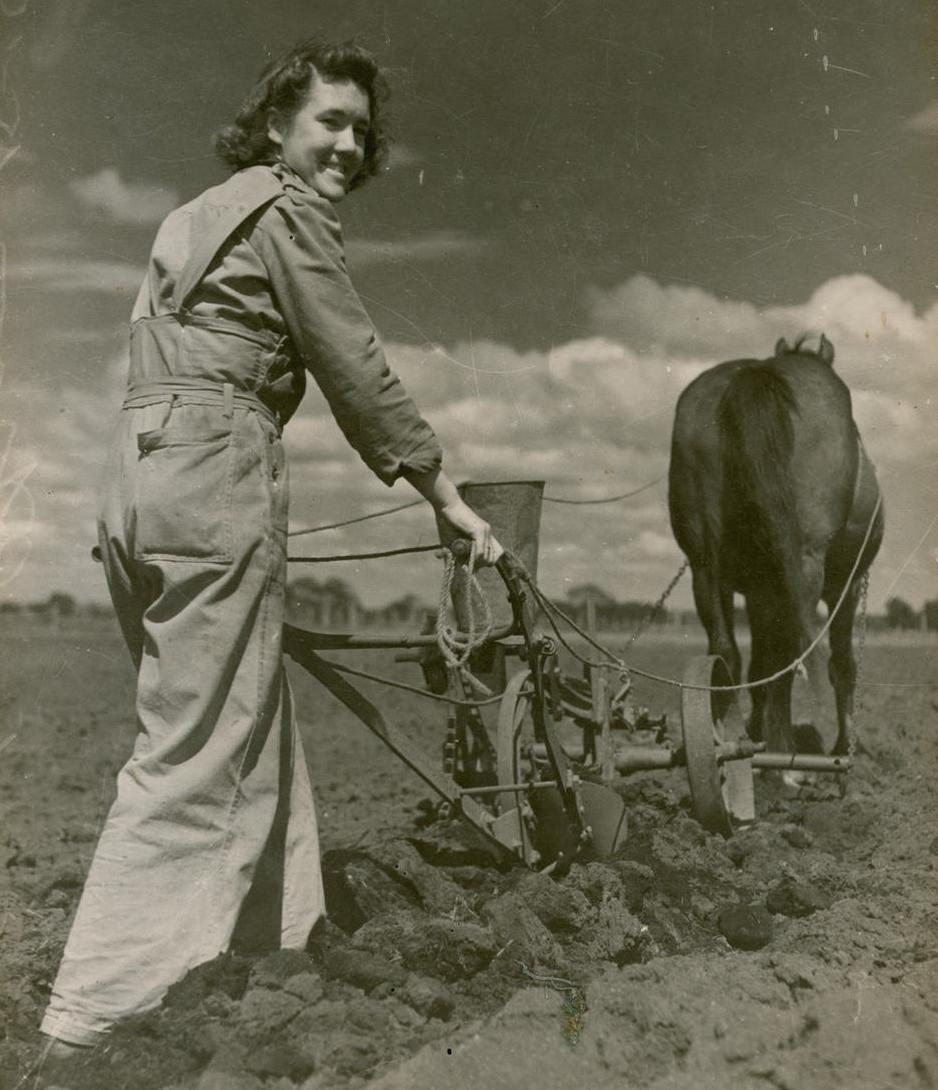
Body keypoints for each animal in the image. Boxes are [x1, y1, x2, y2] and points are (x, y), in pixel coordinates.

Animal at [671, 335, 880, 754]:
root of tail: (757, 373)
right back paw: (784, 754)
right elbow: (841, 664)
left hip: (705, 567)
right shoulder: (845, 586)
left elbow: (759, 663)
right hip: (803, 568)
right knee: (791, 656)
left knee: (727, 653)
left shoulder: (757, 592)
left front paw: (755, 729)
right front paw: (843, 746)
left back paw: (734, 738)